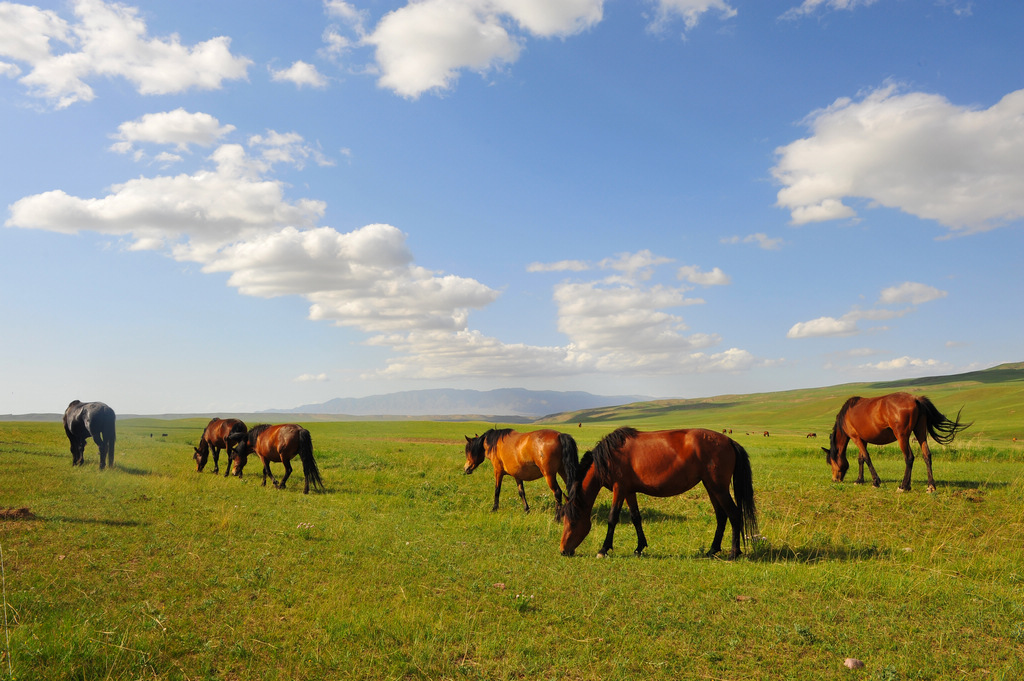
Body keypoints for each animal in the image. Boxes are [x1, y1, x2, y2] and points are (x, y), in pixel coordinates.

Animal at [561, 428, 761, 561]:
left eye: (572, 522)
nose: (563, 550)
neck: (609, 457)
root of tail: (729, 441)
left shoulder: (620, 489)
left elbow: (612, 518)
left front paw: (603, 549)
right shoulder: (629, 491)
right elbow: (636, 518)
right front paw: (639, 547)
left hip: (718, 488)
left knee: (734, 514)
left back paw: (734, 553)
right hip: (711, 487)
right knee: (721, 516)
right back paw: (712, 550)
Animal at [819, 391, 970, 491]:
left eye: (831, 461)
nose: (835, 479)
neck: (846, 415)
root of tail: (916, 399)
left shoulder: (856, 438)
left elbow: (867, 458)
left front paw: (875, 482)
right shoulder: (863, 439)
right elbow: (861, 459)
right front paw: (859, 480)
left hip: (902, 437)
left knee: (909, 458)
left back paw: (904, 486)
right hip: (920, 433)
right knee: (927, 455)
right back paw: (930, 486)